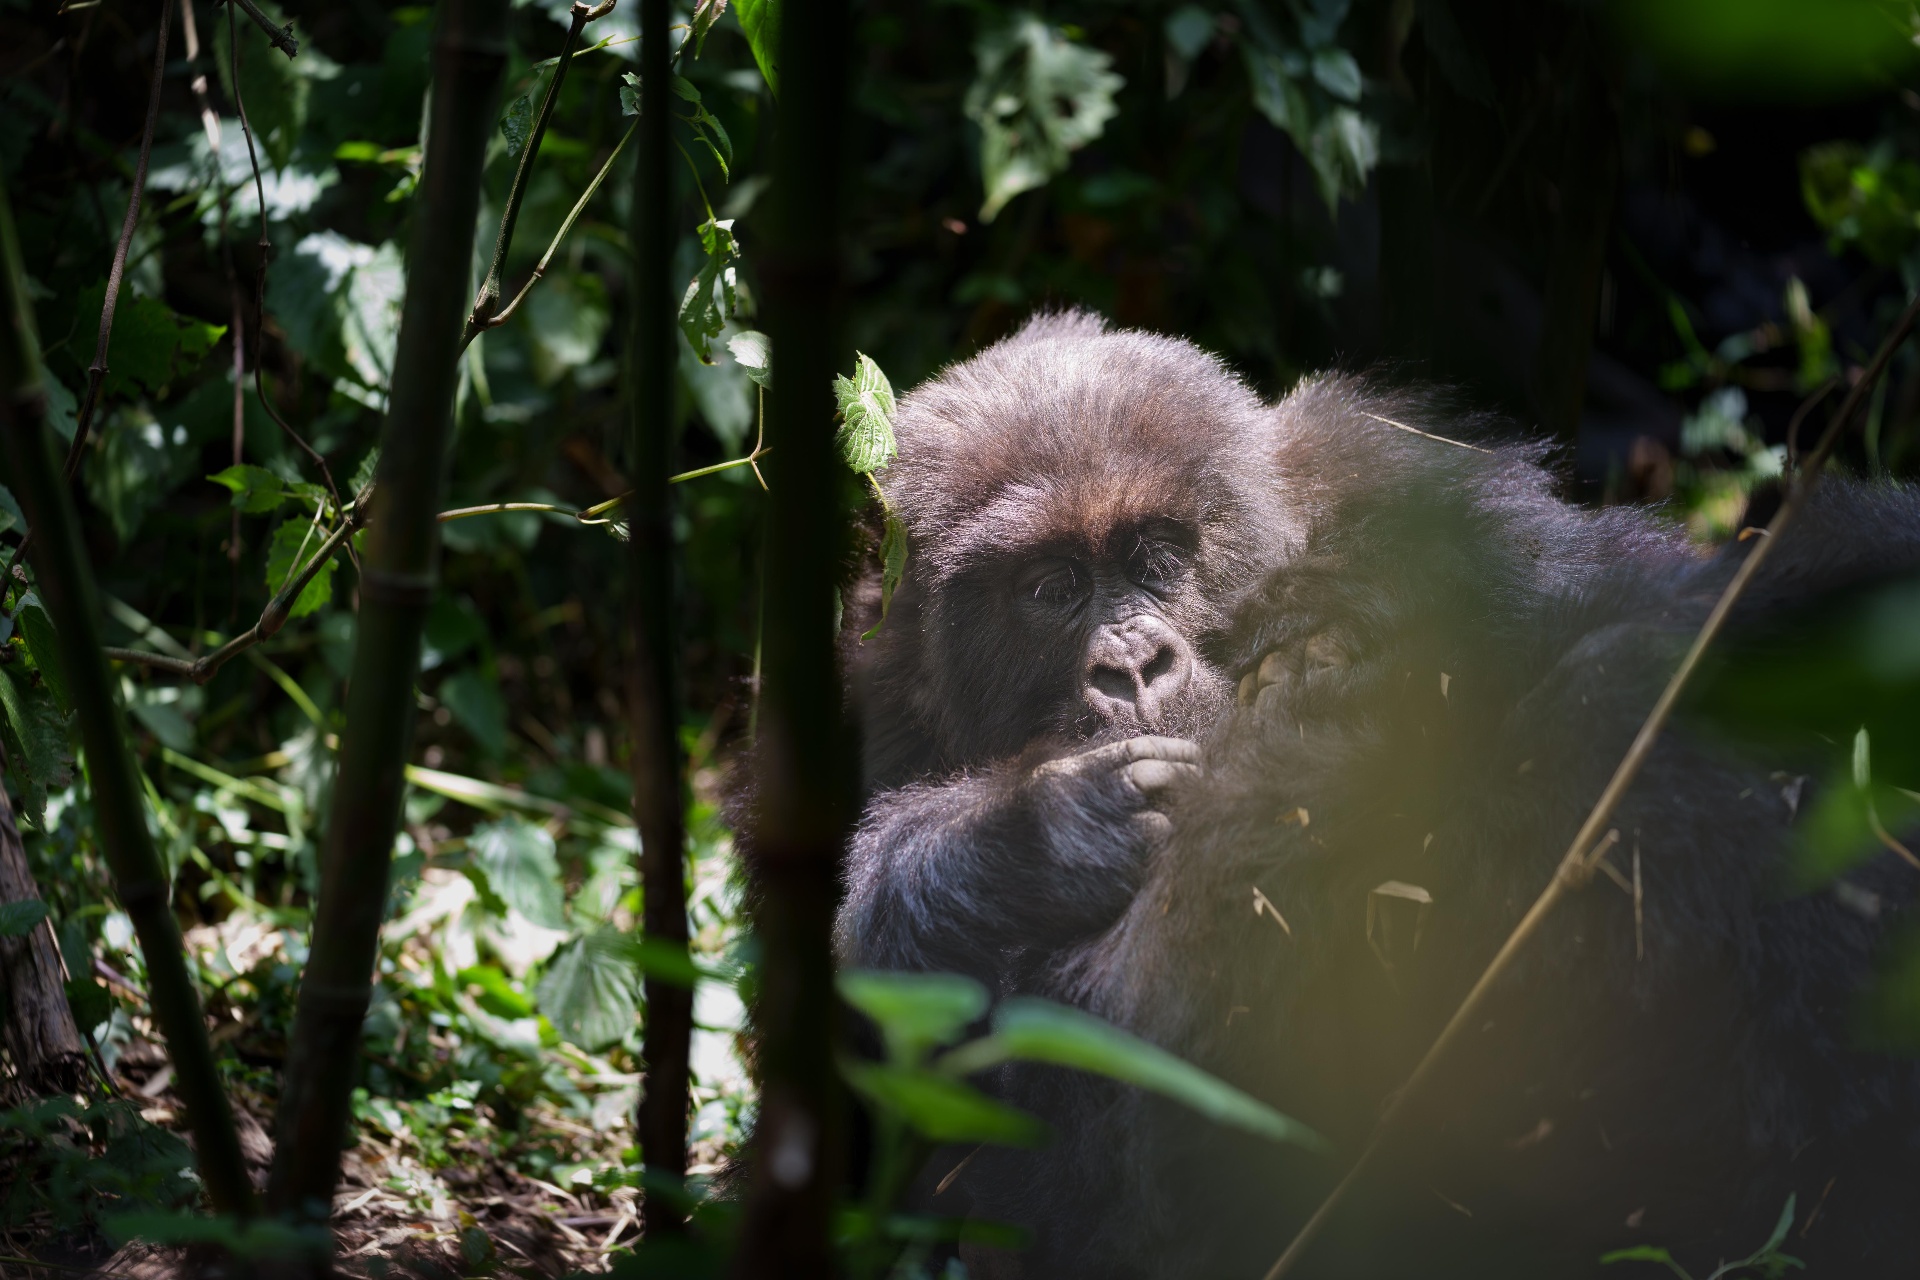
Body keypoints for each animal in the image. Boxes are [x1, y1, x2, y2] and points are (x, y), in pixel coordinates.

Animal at [834, 311, 1920, 1278]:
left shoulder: (1415, 477)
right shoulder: (868, 693)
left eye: (1157, 555)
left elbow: (1654, 604)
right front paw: (1049, 831)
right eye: (1052, 587)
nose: (1133, 666)